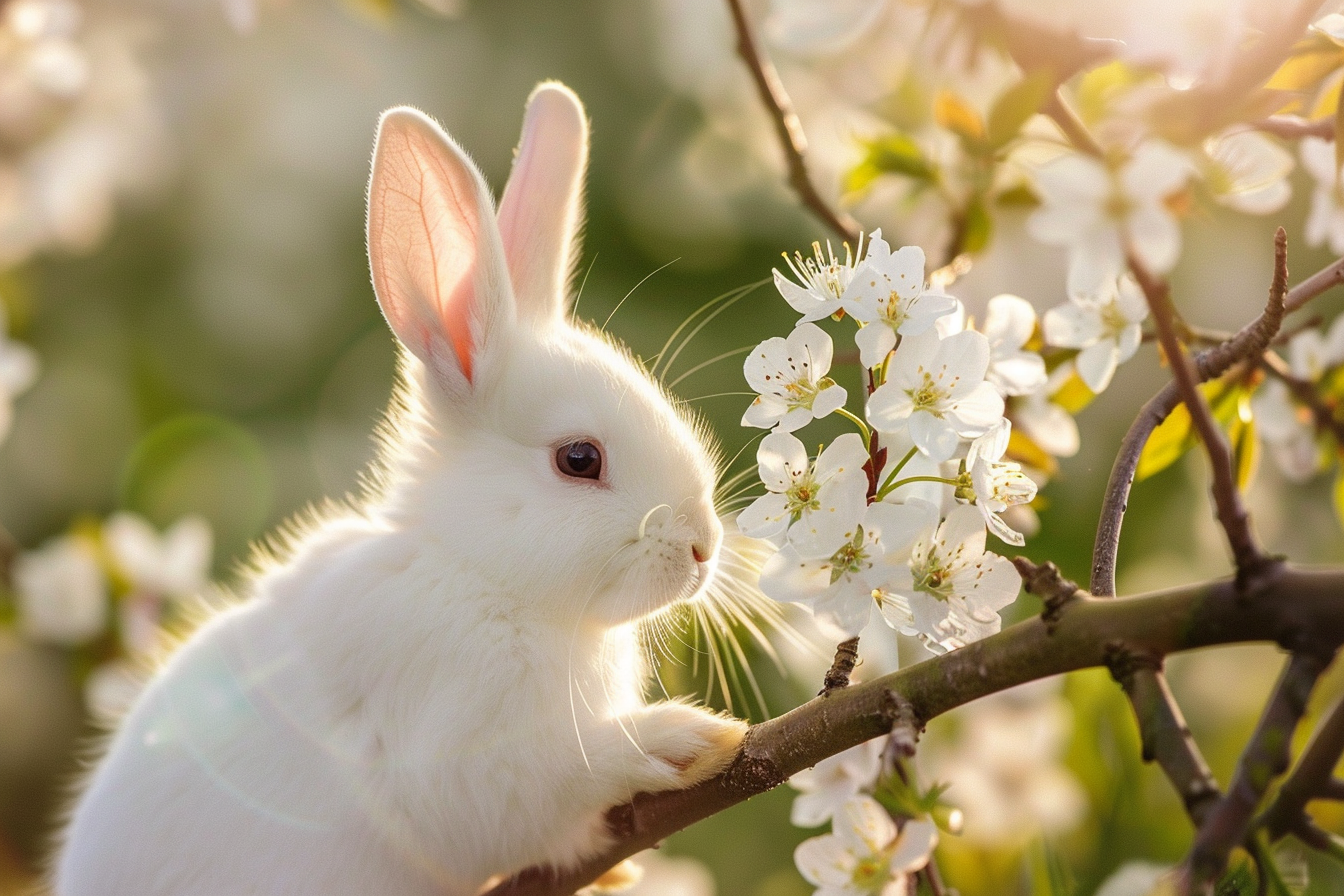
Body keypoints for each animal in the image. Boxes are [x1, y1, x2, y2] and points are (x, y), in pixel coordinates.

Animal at [54, 81, 748, 896]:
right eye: (580, 459)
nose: (703, 549)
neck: (480, 575)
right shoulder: (455, 752)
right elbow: (546, 778)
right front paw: (684, 739)